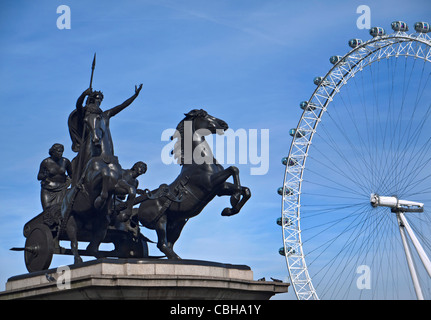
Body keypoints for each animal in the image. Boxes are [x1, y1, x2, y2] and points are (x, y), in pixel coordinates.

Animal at [134, 109, 250, 258]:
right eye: (204, 115)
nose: (224, 124)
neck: (200, 161)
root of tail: (138, 209)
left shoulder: (219, 188)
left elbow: (245, 189)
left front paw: (229, 210)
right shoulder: (210, 183)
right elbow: (234, 169)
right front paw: (234, 200)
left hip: (177, 223)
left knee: (169, 244)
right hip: (161, 221)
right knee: (162, 244)